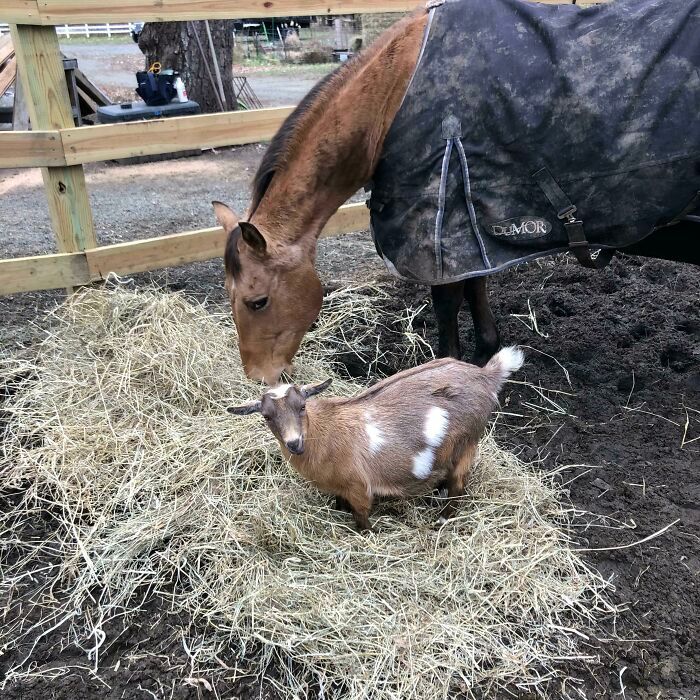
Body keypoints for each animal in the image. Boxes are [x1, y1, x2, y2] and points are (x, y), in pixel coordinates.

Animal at [216, 4, 696, 382]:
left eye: (257, 302)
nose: (259, 378)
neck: (391, 97)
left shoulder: (438, 227)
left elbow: (447, 304)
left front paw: (448, 368)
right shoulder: (470, 224)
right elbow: (476, 286)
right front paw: (487, 349)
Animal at [230, 344, 524, 532]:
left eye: (302, 406)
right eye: (267, 416)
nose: (294, 443)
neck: (325, 433)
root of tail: (485, 375)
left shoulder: (359, 487)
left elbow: (361, 517)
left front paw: (365, 534)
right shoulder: (341, 487)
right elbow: (341, 503)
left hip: (467, 443)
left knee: (459, 485)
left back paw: (443, 519)